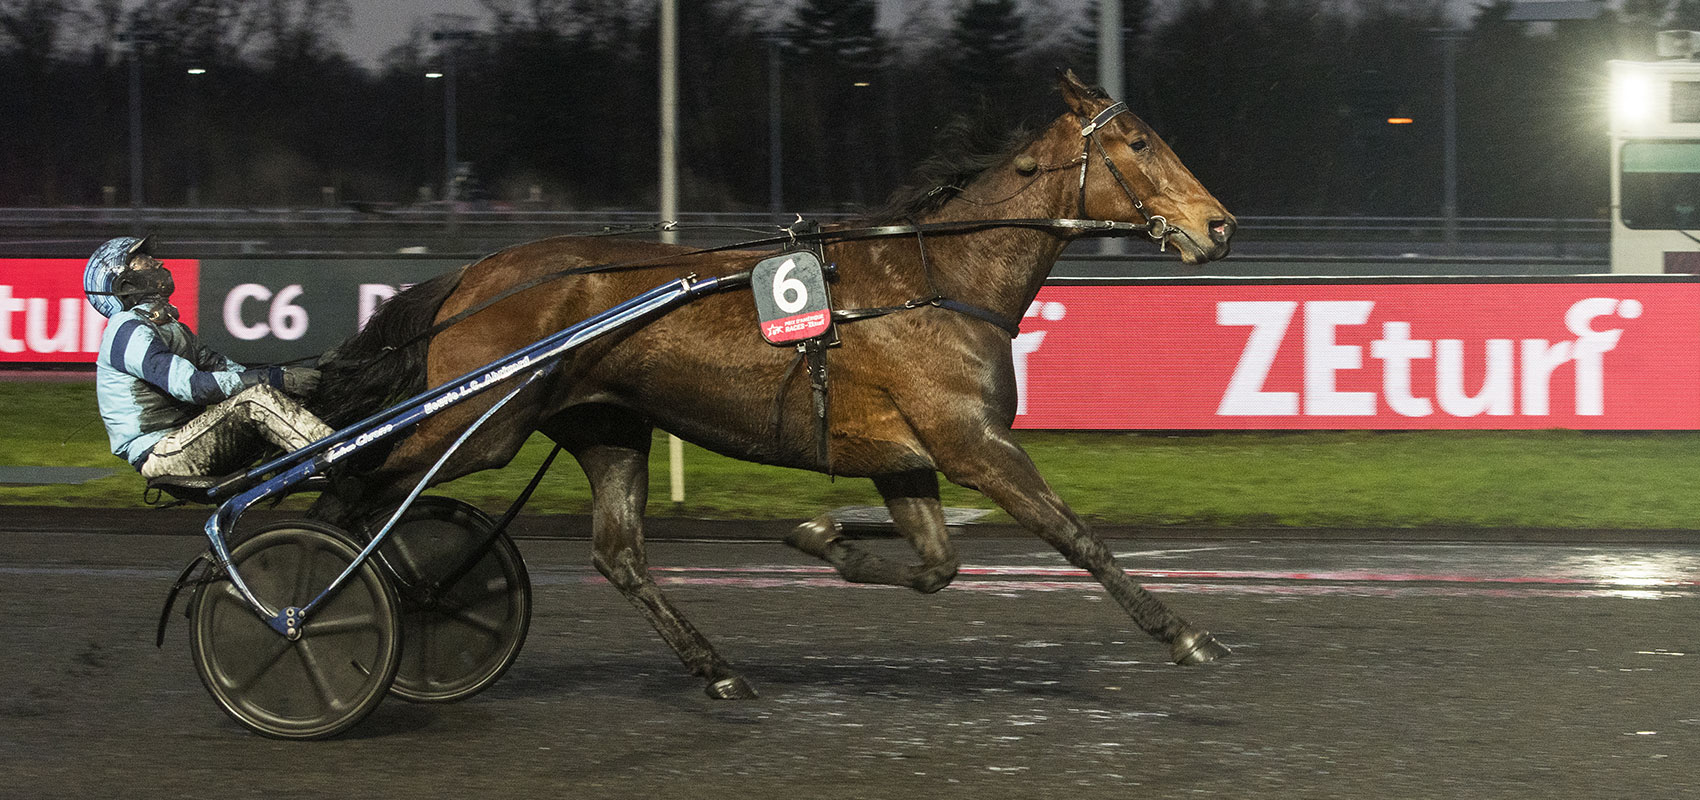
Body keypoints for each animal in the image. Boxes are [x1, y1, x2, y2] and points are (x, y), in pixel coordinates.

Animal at [312, 73, 1237, 699]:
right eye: (1141, 144)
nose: (1219, 224)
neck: (939, 277)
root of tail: (473, 277)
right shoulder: (974, 444)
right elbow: (1078, 538)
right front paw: (1185, 633)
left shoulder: (905, 457)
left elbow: (936, 565)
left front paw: (820, 536)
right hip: (477, 422)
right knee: (349, 487)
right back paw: (318, 609)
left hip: (606, 427)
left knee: (618, 555)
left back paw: (716, 670)